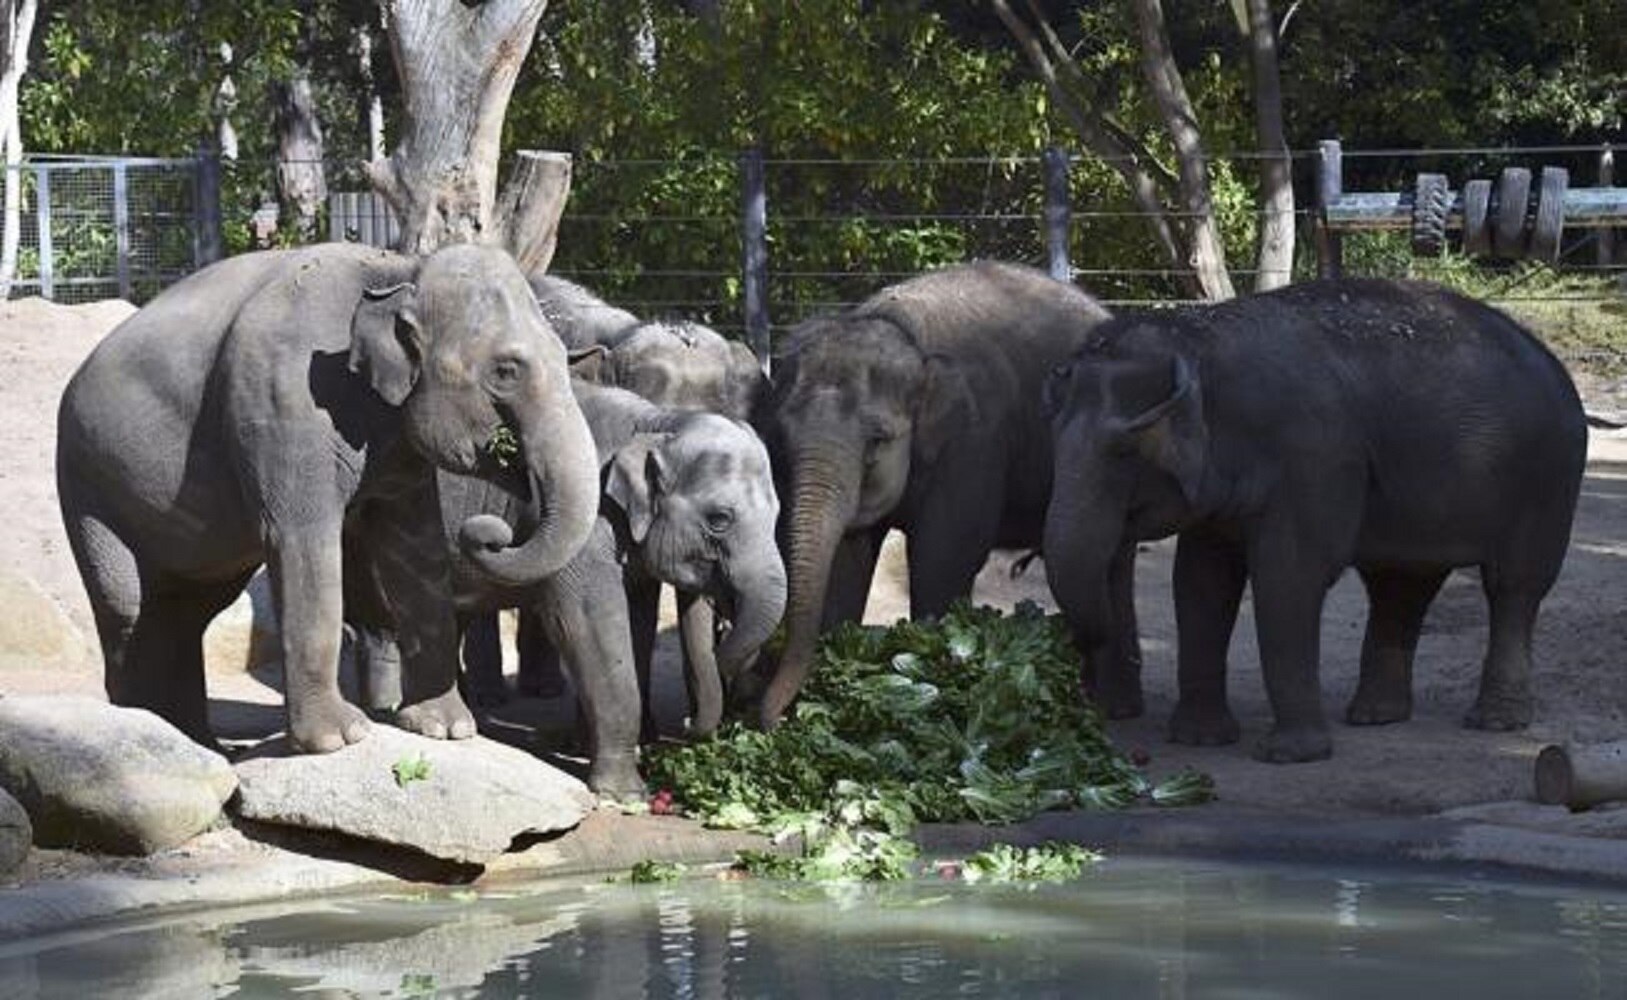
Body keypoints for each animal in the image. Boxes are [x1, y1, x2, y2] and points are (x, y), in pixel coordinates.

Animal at [56, 242, 602, 753]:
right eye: (507, 370)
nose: (490, 532)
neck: (401, 269)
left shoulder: (397, 438)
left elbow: (415, 546)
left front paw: (446, 728)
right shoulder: (286, 396)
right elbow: (304, 541)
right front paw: (338, 739)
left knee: (185, 610)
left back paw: (200, 743)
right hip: (86, 482)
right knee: (130, 610)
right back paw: (152, 737)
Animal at [351, 379, 786, 795]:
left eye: (778, 513)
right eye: (719, 520)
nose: (687, 722)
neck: (655, 422)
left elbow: (636, 622)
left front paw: (586, 747)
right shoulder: (588, 521)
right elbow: (587, 624)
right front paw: (626, 792)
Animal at [757, 260, 1118, 727]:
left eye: (877, 440)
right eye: (781, 437)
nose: (771, 720)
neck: (906, 335)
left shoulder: (975, 440)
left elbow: (944, 555)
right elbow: (845, 558)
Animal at [1041, 279, 1586, 763]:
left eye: (1124, 451)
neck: (1201, 341)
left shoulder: (1316, 456)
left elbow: (1289, 576)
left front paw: (1288, 756)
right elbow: (1200, 582)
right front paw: (1200, 741)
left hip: (1548, 481)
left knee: (1514, 586)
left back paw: (1495, 721)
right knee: (1400, 585)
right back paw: (1375, 717)